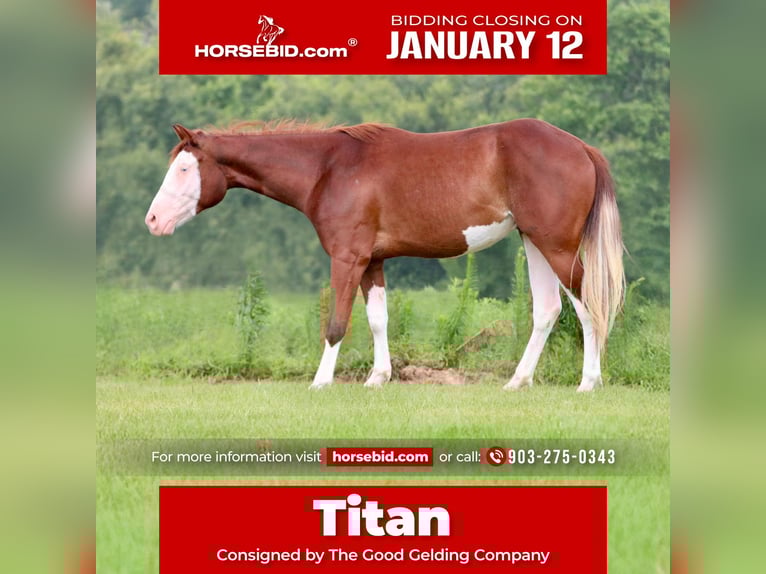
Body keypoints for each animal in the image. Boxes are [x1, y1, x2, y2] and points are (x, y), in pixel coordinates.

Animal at [145, 119, 625, 392]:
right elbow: (378, 319)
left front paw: (321, 382)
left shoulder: (347, 258)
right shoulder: (371, 262)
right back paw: (518, 381)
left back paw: (589, 382)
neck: (328, 169)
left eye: (184, 168)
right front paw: (378, 378)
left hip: (557, 247)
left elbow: (337, 324)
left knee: (587, 307)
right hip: (534, 242)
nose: (152, 220)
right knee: (548, 310)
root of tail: (581, 148)